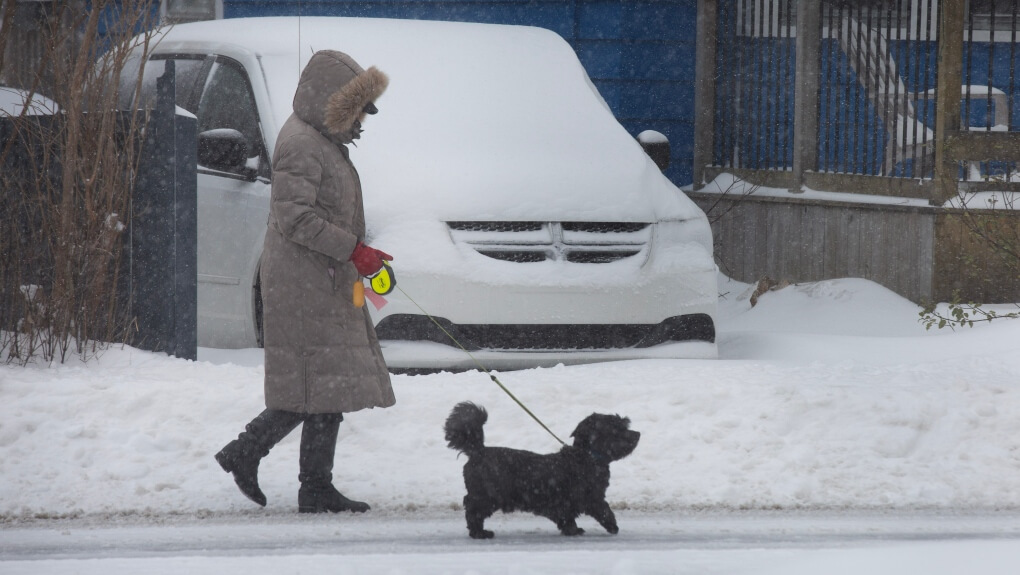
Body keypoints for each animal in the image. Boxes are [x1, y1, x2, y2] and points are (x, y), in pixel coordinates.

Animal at [444, 399, 640, 538]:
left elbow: (571, 518)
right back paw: (480, 533)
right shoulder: (590, 498)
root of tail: (478, 451)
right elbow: (604, 511)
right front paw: (611, 527)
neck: (586, 457)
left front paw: (573, 530)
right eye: (616, 428)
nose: (637, 433)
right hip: (486, 496)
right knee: (473, 512)